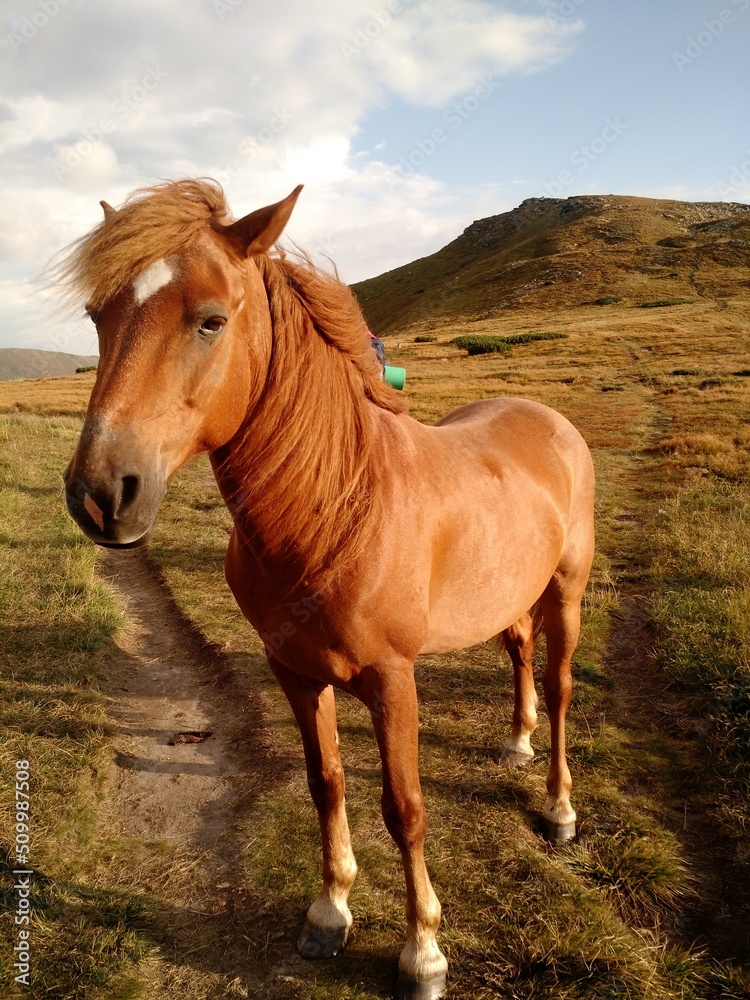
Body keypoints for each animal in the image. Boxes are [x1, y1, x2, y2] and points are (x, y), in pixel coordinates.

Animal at [59, 179, 595, 1000]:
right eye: (98, 317)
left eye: (211, 320)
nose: (100, 495)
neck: (337, 507)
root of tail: (549, 419)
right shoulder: (295, 671)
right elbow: (327, 782)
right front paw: (329, 911)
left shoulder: (392, 678)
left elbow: (404, 808)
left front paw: (422, 952)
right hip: (508, 598)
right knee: (518, 654)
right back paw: (516, 742)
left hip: (565, 592)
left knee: (561, 687)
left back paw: (560, 807)